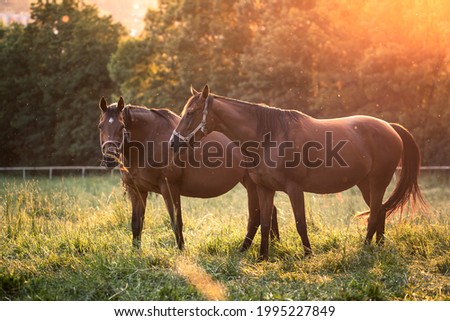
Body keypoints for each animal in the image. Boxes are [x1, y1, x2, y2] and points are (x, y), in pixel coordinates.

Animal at [98, 95, 278, 250]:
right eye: (100, 126)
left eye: (122, 126)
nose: (109, 157)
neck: (149, 141)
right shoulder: (137, 190)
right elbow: (136, 224)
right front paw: (136, 253)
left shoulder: (169, 188)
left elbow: (176, 222)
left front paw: (182, 253)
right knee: (270, 212)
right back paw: (274, 244)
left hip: (252, 184)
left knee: (256, 216)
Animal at [169, 85, 426, 260]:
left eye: (191, 112)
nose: (174, 142)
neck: (269, 136)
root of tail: (390, 127)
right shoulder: (264, 188)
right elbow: (264, 222)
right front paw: (263, 257)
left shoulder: (294, 189)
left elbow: (300, 222)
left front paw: (308, 254)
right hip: (365, 185)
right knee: (380, 211)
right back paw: (378, 247)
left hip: (377, 182)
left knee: (374, 214)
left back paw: (364, 247)